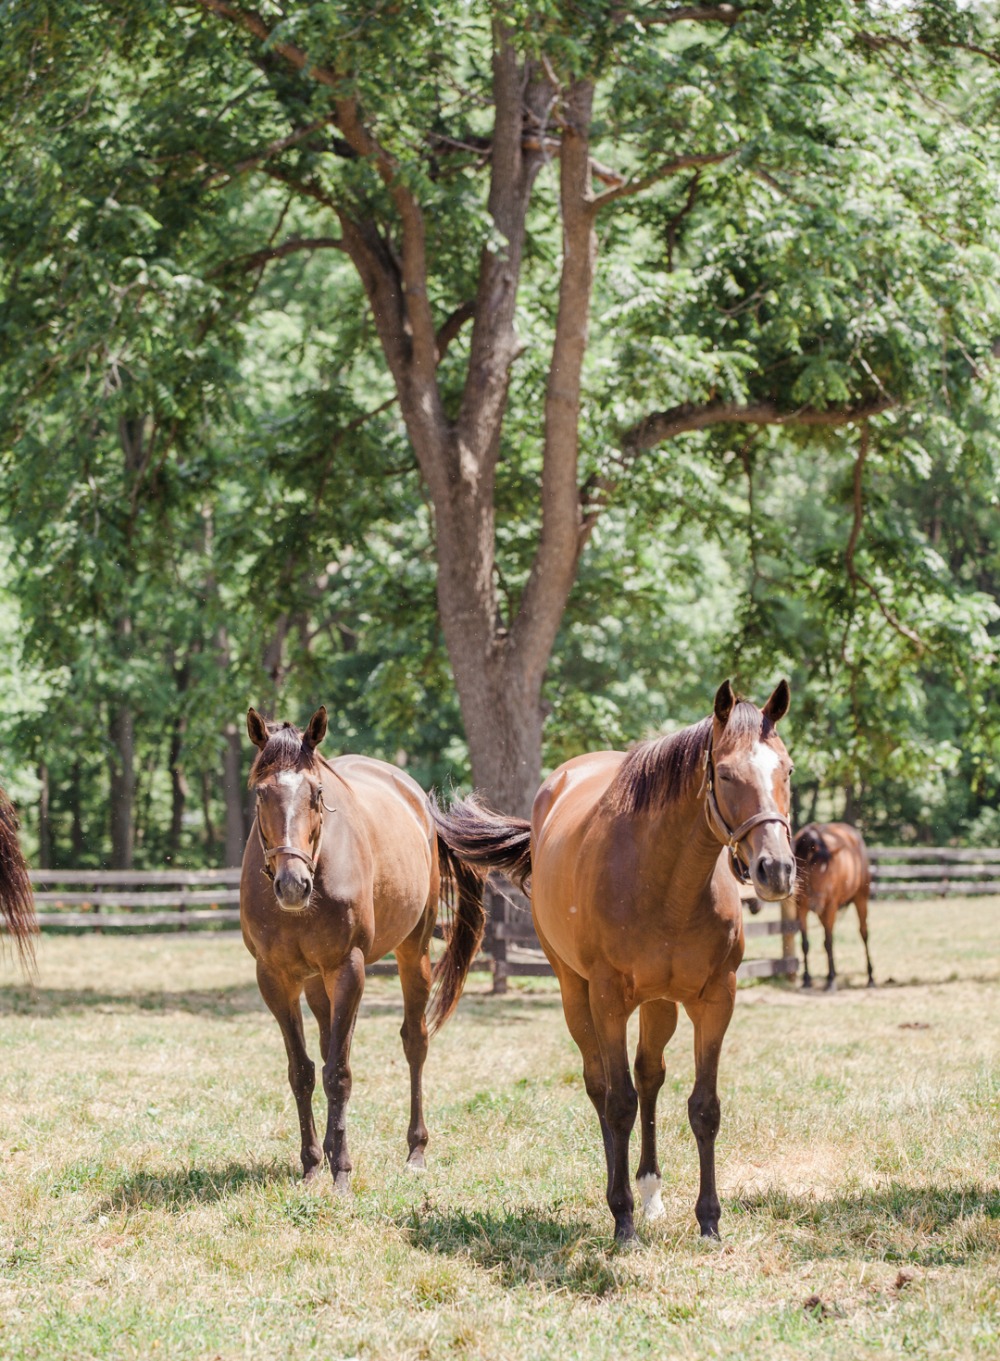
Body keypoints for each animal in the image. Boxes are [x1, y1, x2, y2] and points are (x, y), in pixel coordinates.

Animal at [246, 707, 489, 1186]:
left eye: (317, 793)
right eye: (260, 793)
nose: (292, 885)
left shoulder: (349, 968)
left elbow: (338, 1074)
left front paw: (341, 1170)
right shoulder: (275, 978)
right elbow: (302, 1070)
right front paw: (312, 1164)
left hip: (412, 954)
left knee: (414, 1042)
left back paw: (416, 1150)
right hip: (318, 982)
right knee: (327, 1048)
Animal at [435, 680, 794, 1246]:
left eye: (788, 771)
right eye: (726, 774)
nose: (775, 869)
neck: (665, 881)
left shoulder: (716, 998)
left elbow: (703, 1107)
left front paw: (709, 1220)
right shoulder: (608, 998)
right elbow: (619, 1101)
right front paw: (621, 1218)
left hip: (660, 1004)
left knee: (649, 1076)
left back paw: (650, 1191)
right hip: (575, 993)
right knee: (601, 1085)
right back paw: (620, 1196)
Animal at [794, 816, 870, 990]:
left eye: (828, 873)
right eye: (807, 872)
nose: (816, 905)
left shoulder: (830, 907)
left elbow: (828, 943)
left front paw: (830, 980)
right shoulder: (801, 907)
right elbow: (805, 943)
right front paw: (806, 979)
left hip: (860, 898)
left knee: (863, 933)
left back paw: (871, 978)